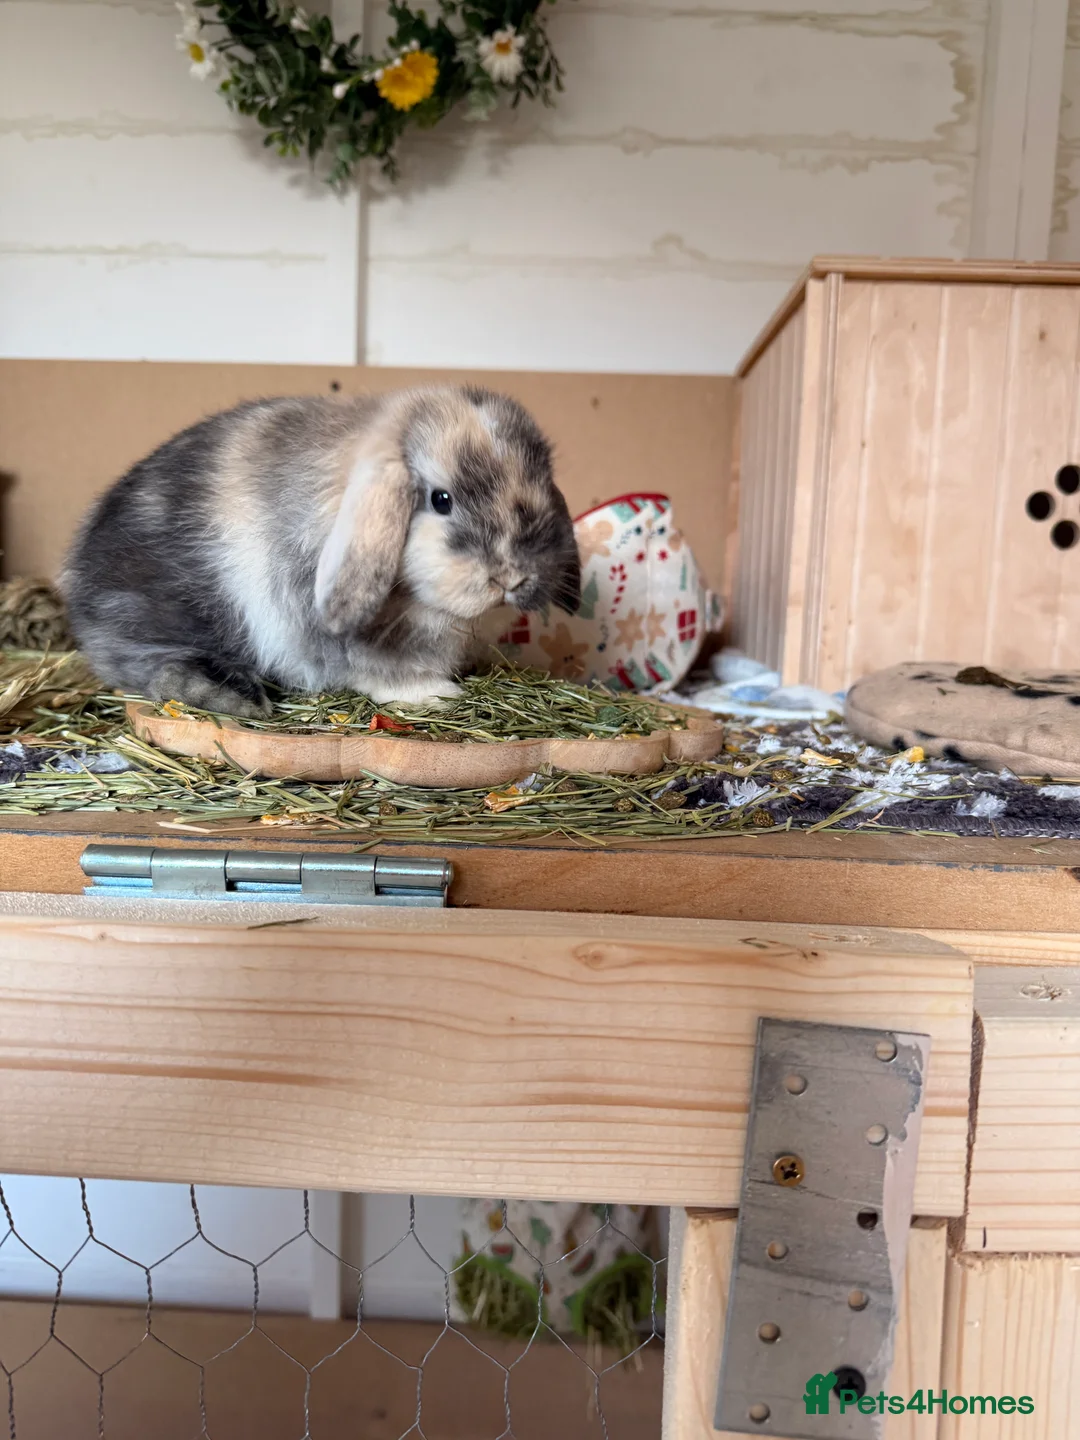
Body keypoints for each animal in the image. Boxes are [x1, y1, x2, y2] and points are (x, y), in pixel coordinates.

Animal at [60, 386, 582, 718]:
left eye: (540, 485)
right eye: (441, 499)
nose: (511, 578)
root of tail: (77, 572)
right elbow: (382, 670)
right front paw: (437, 695)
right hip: (152, 620)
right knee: (154, 671)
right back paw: (236, 697)